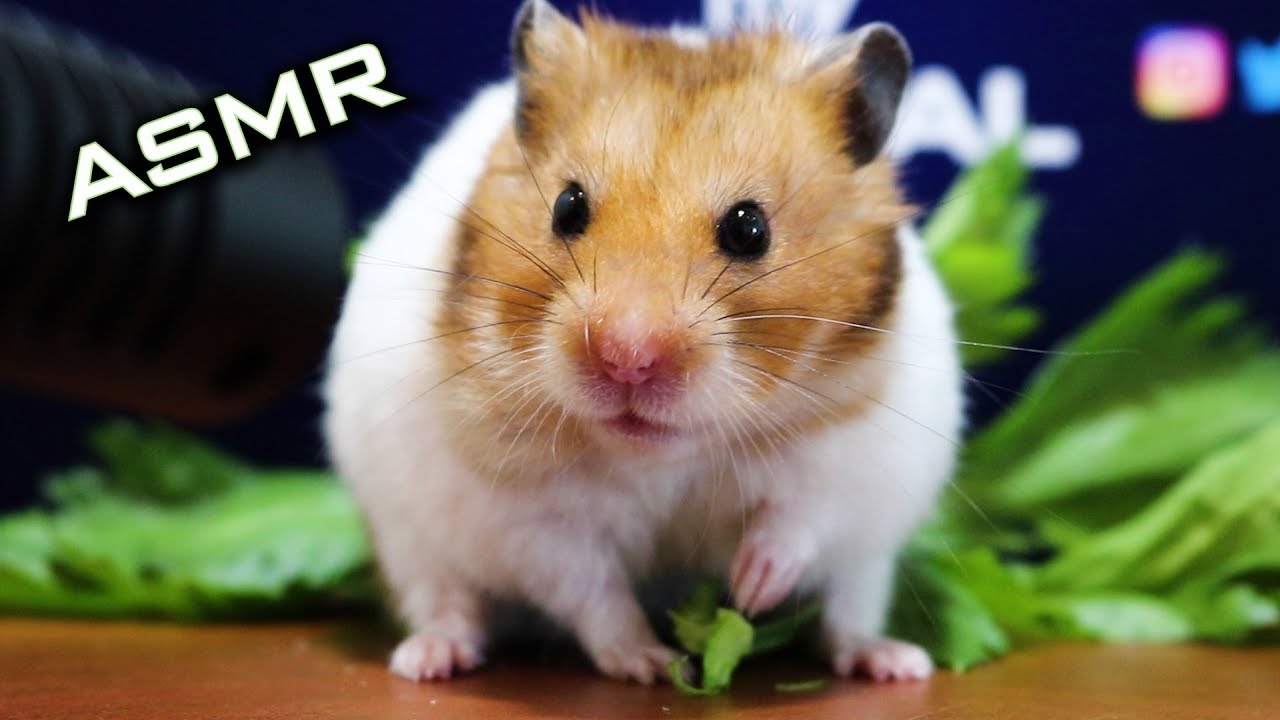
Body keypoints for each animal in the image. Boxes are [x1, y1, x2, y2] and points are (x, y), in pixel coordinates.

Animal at [323, 0, 963, 685]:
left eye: (750, 228)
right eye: (567, 206)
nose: (626, 360)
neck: (663, 456)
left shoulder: (856, 457)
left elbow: (799, 520)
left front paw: (749, 589)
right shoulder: (528, 514)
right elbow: (594, 592)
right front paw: (655, 664)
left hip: (868, 567)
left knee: (844, 617)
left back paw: (895, 662)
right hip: (407, 538)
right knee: (445, 601)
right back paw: (428, 660)